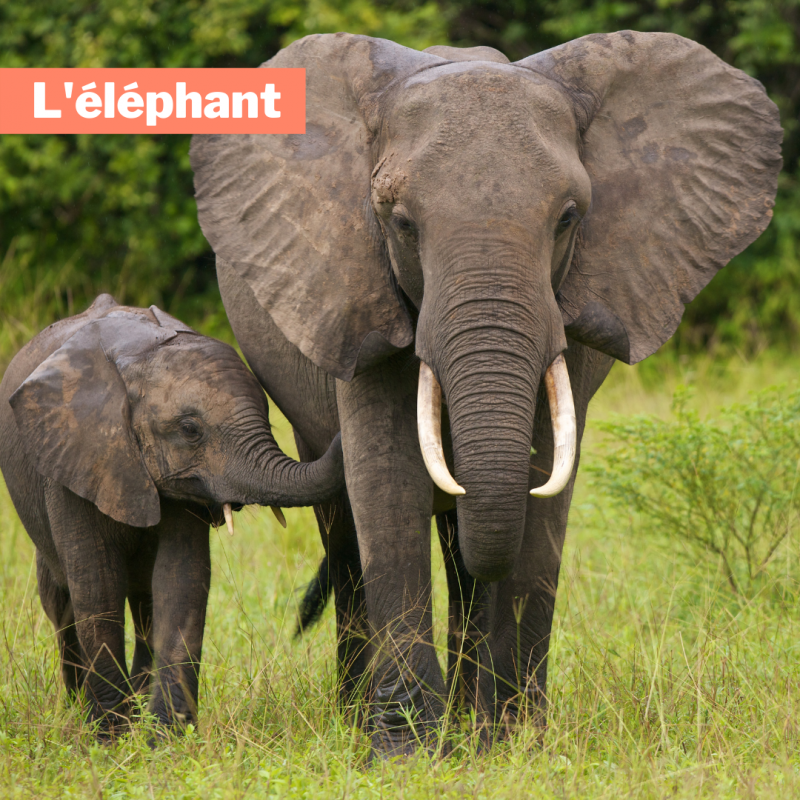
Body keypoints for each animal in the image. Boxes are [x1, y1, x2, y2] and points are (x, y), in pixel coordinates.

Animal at [0, 294, 344, 736]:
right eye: (190, 429)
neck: (138, 360)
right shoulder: (73, 457)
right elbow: (97, 584)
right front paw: (109, 738)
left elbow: (181, 577)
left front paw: (165, 736)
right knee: (60, 602)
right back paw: (81, 708)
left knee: (144, 602)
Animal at [190, 31, 782, 756]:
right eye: (400, 223)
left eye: (568, 219)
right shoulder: (354, 286)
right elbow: (387, 482)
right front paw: (403, 754)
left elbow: (543, 487)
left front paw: (517, 745)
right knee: (348, 531)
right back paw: (367, 719)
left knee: (463, 549)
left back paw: (469, 726)